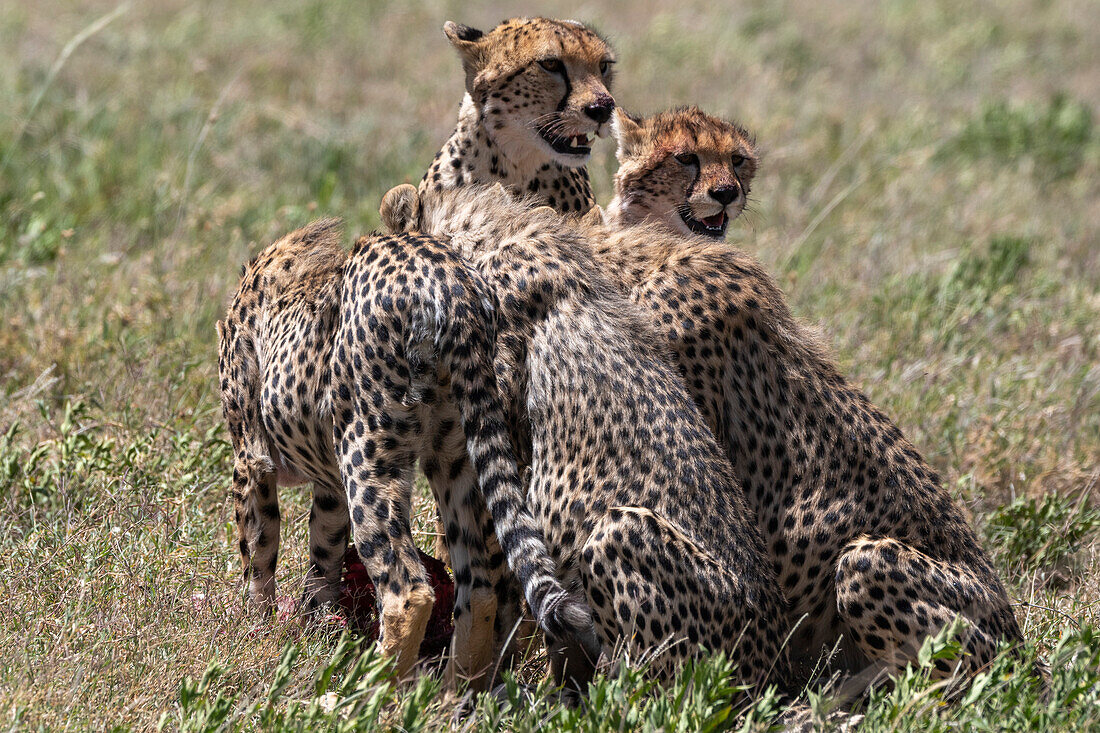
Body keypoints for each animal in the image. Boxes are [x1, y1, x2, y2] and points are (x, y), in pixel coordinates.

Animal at [215, 217, 598, 677]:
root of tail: (450, 281)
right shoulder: (329, 486)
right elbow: (324, 551)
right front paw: (313, 625)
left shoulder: (251, 459)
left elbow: (258, 550)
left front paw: (257, 630)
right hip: (457, 458)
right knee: (480, 586)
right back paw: (454, 689)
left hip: (367, 453)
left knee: (409, 591)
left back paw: (373, 685)